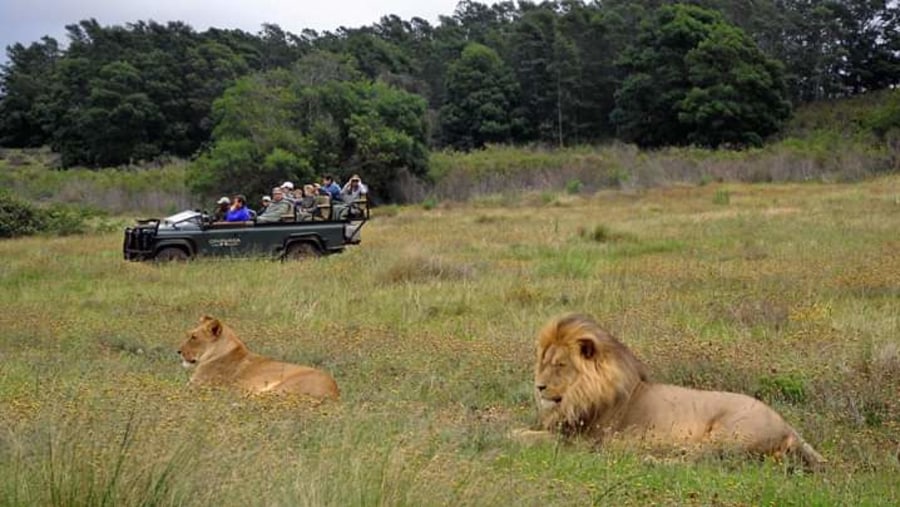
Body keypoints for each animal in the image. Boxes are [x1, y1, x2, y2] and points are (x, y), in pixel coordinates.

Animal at [520, 316, 824, 470]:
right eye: (543, 363)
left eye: (560, 365)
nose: (539, 387)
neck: (577, 395)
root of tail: (789, 428)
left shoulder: (583, 440)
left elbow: (529, 437)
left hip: (729, 435)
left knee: (699, 459)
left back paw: (648, 458)